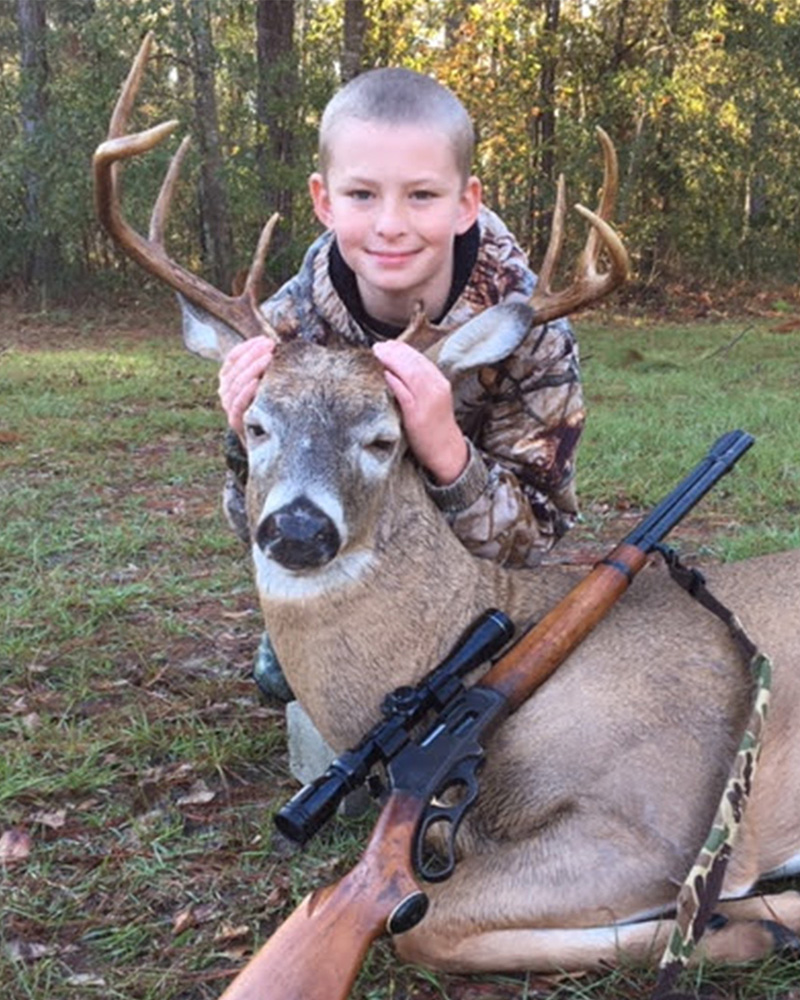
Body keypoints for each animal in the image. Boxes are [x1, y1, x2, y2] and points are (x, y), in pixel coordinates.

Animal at [94, 34, 800, 977]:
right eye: (255, 425)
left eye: (385, 437)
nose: (297, 528)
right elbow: (422, 917)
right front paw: (748, 921)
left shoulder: (665, 814)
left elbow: (429, 922)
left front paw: (748, 919)